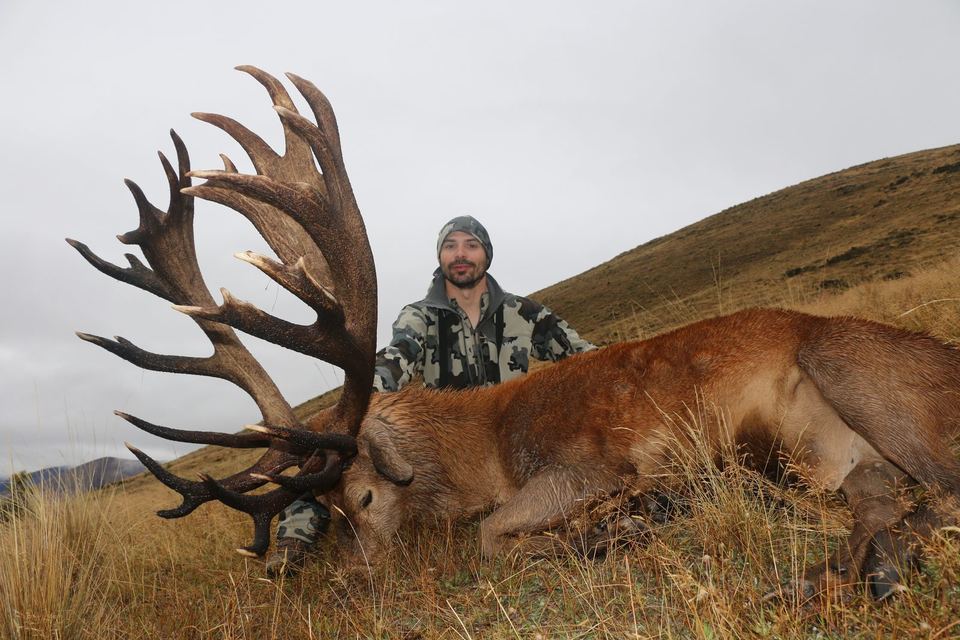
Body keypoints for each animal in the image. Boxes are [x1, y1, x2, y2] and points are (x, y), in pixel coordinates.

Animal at [69, 67, 960, 602]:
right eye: (331, 514)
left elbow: (494, 536)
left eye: (364, 497)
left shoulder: (590, 460)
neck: (485, 445)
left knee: (937, 490)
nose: (350, 585)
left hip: (847, 366)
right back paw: (845, 570)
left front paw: (605, 531)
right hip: (844, 458)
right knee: (881, 505)